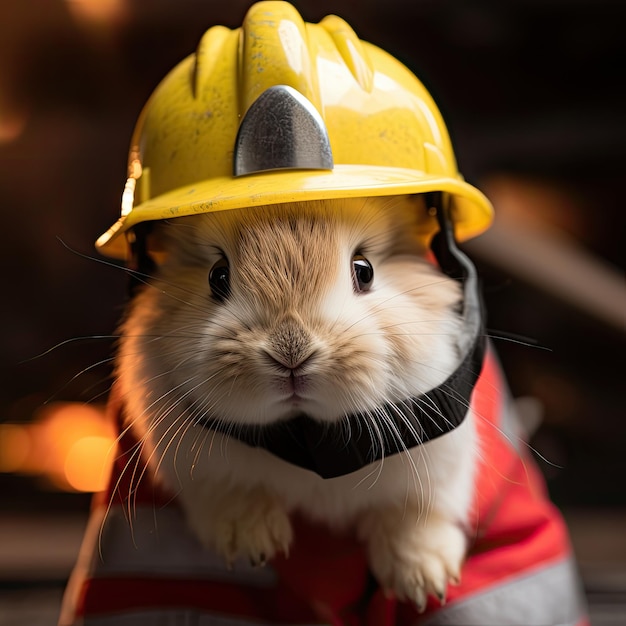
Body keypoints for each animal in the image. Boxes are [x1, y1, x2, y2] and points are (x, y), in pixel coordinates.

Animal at [116, 193, 478, 608]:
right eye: (217, 276)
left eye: (364, 271)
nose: (291, 351)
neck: (310, 444)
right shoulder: (205, 475)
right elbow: (234, 493)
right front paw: (252, 545)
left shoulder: (437, 473)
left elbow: (412, 515)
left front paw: (424, 582)